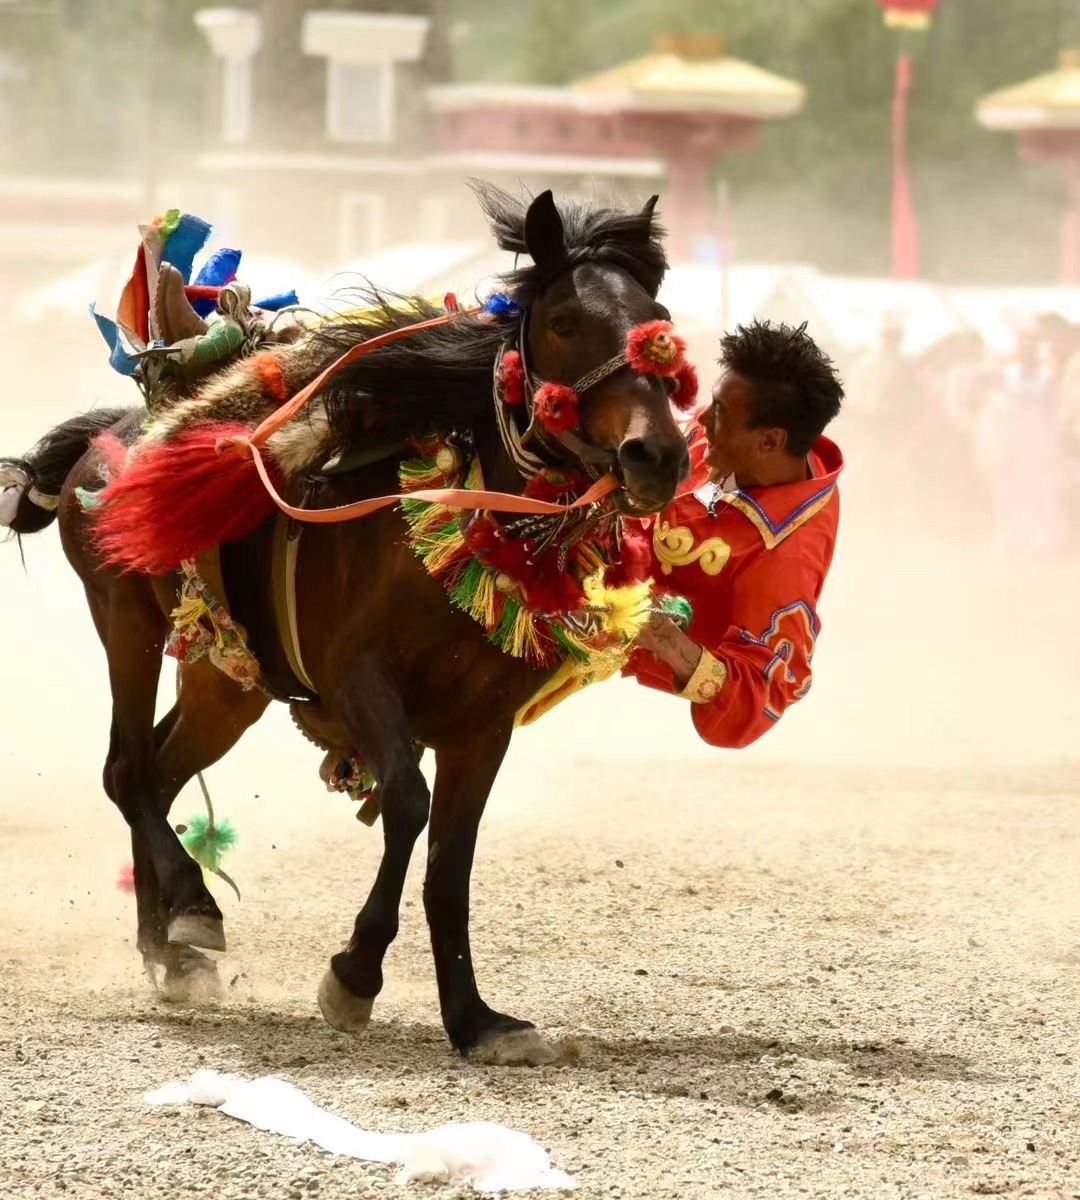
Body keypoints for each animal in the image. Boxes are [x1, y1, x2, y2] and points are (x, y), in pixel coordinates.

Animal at [0, 182, 686, 1065]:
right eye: (566, 322)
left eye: (657, 315)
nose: (657, 457)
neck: (461, 517)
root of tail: (109, 437)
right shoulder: (359, 680)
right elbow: (406, 803)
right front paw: (355, 974)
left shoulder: (484, 726)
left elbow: (451, 865)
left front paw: (474, 1018)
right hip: (128, 625)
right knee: (126, 770)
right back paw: (193, 906)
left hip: (228, 682)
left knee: (158, 768)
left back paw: (170, 946)